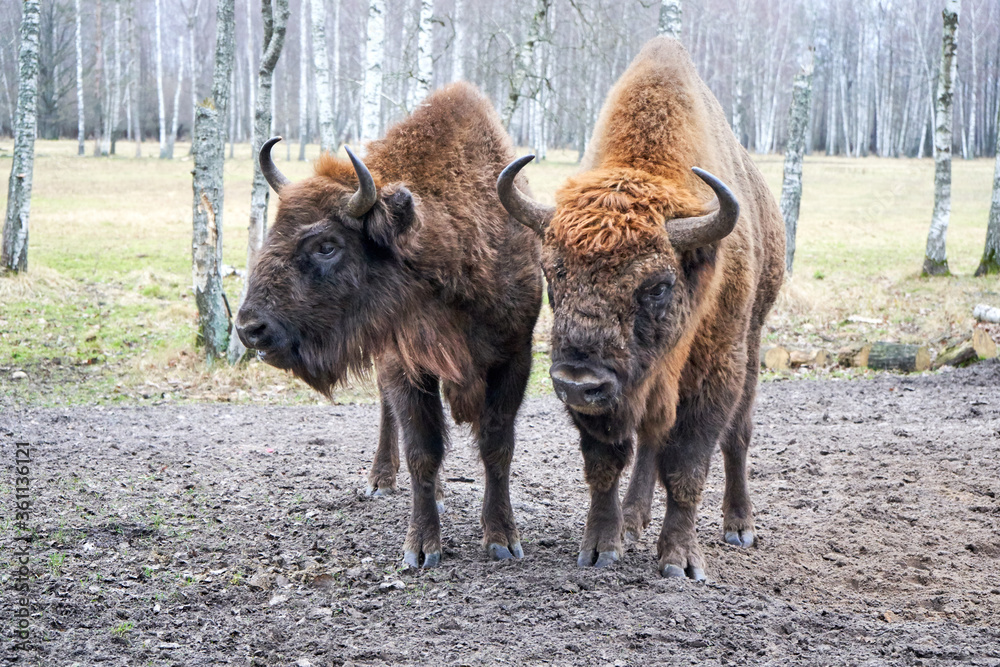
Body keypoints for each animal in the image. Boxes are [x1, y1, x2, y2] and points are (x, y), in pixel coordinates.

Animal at [236, 82, 542, 568]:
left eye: (326, 245)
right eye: (274, 231)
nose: (250, 328)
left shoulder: (514, 357)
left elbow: (497, 445)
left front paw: (502, 539)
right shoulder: (405, 363)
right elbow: (422, 449)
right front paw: (421, 548)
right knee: (388, 413)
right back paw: (382, 480)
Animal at [497, 37, 784, 579]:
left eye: (658, 285)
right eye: (552, 272)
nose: (579, 381)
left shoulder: (714, 372)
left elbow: (688, 463)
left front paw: (680, 561)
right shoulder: (606, 400)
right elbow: (607, 461)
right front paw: (601, 546)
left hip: (754, 341)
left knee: (737, 435)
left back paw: (739, 526)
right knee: (652, 434)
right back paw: (633, 519)